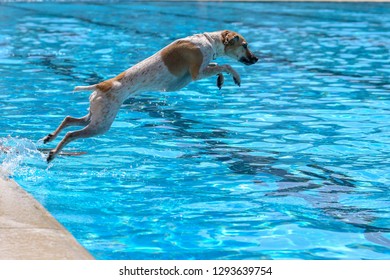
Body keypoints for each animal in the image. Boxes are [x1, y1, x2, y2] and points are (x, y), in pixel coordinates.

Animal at [42, 30, 258, 162]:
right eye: (245, 45)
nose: (256, 59)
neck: (207, 41)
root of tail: (102, 84)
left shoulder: (197, 73)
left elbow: (217, 66)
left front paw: (221, 80)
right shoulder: (196, 73)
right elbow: (224, 65)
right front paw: (235, 76)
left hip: (95, 115)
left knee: (69, 119)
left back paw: (49, 138)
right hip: (101, 124)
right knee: (71, 134)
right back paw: (52, 154)